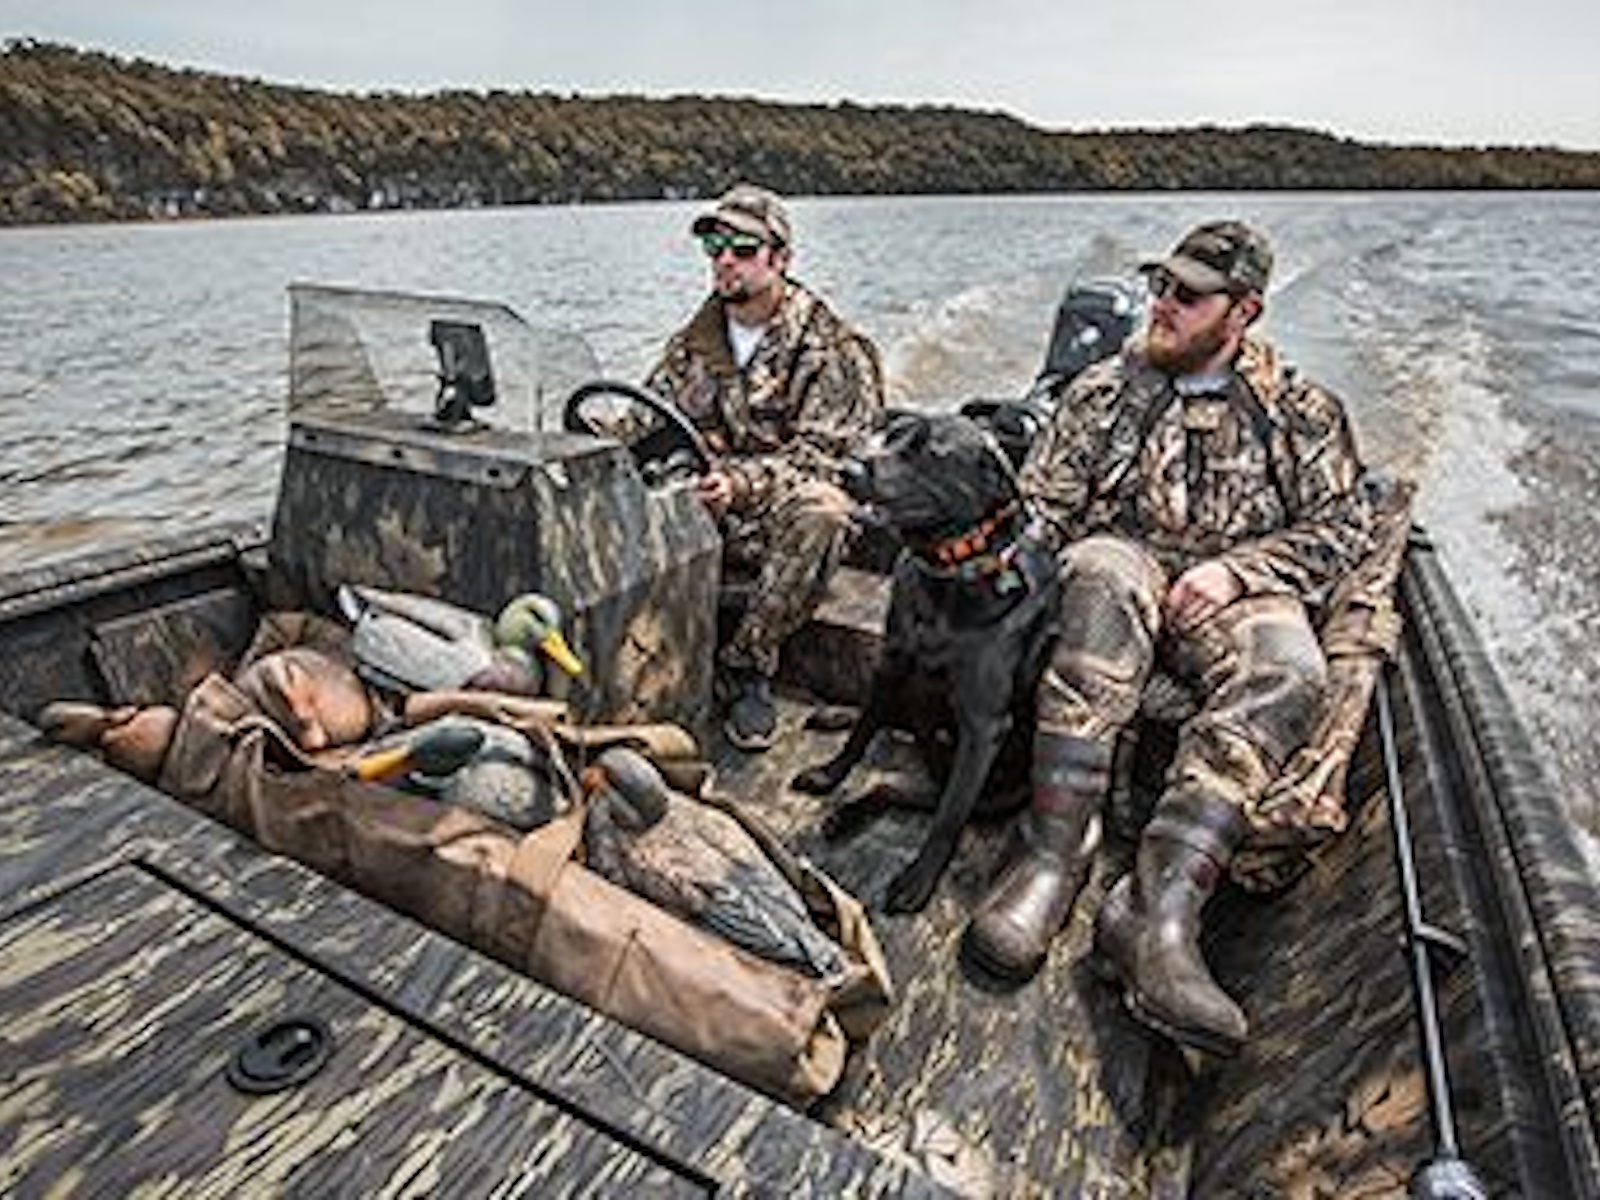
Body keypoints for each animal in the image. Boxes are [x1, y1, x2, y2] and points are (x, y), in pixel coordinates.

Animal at [792, 412, 1060, 913]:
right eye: (887, 433)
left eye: (927, 452)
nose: (845, 470)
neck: (948, 576)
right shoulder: (892, 662)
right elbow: (862, 731)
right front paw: (830, 772)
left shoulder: (983, 725)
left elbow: (949, 818)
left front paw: (919, 879)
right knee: (880, 730)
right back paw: (836, 728)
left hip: (984, 790)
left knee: (916, 794)